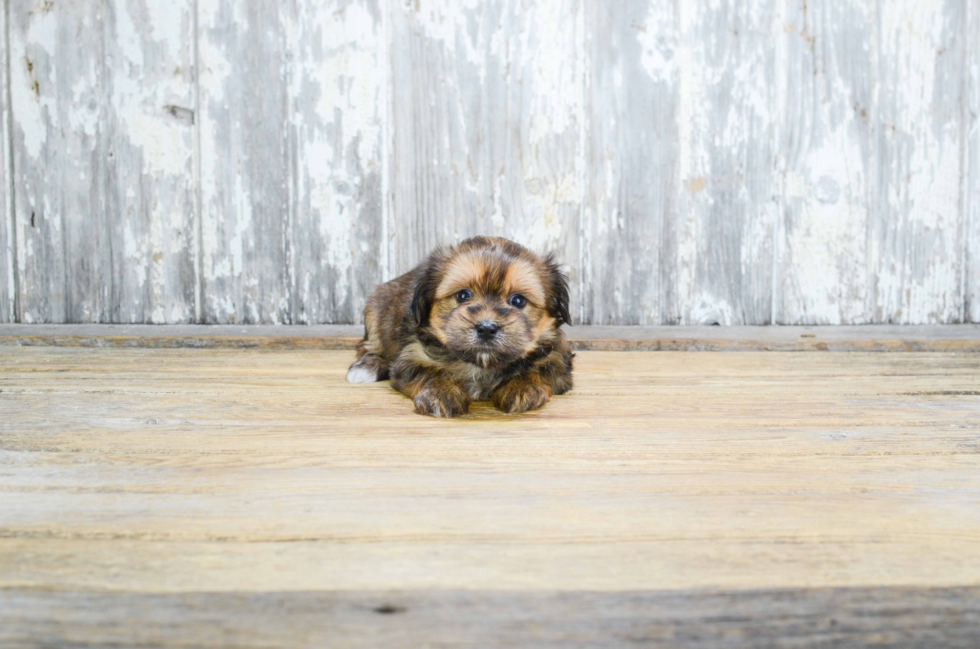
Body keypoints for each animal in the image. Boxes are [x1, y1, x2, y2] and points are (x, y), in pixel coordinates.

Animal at [346, 237, 572, 416]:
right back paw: (366, 367)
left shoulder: (557, 357)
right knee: (369, 348)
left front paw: (521, 386)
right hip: (375, 312)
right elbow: (432, 371)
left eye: (517, 301)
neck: (479, 364)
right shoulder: (411, 356)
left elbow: (540, 368)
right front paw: (442, 392)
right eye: (463, 295)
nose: (487, 328)